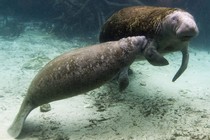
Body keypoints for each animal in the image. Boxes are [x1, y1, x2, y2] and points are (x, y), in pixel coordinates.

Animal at [8, 35, 153, 138]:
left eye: (130, 37)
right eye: (135, 42)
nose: (143, 37)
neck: (123, 48)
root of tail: (27, 101)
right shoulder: (123, 64)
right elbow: (124, 79)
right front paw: (122, 89)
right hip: (30, 101)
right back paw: (12, 132)